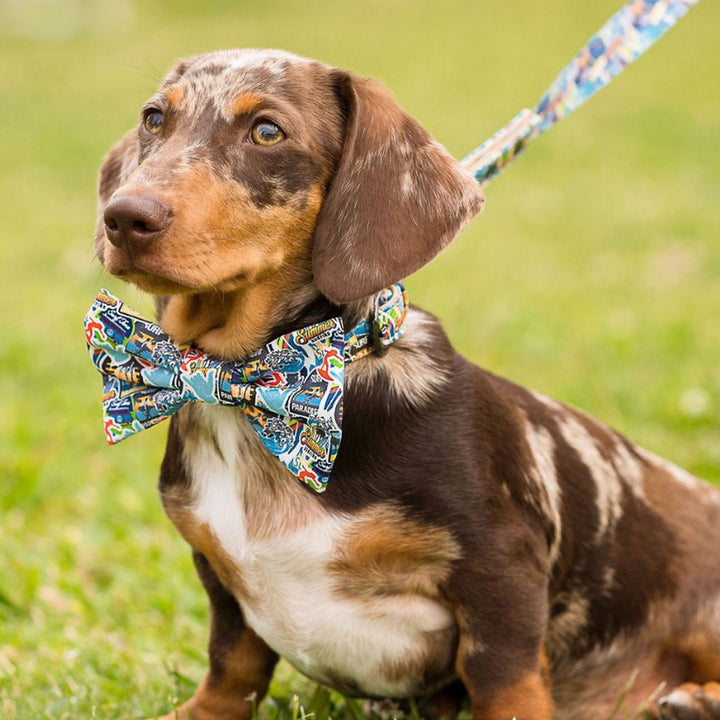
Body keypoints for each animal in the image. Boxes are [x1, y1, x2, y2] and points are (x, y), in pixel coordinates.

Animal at [93, 47, 720, 716]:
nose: (124, 217)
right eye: (154, 118)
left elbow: (505, 680)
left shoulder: (502, 565)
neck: (250, 380)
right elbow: (232, 663)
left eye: (266, 131)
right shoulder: (218, 575)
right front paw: (203, 711)